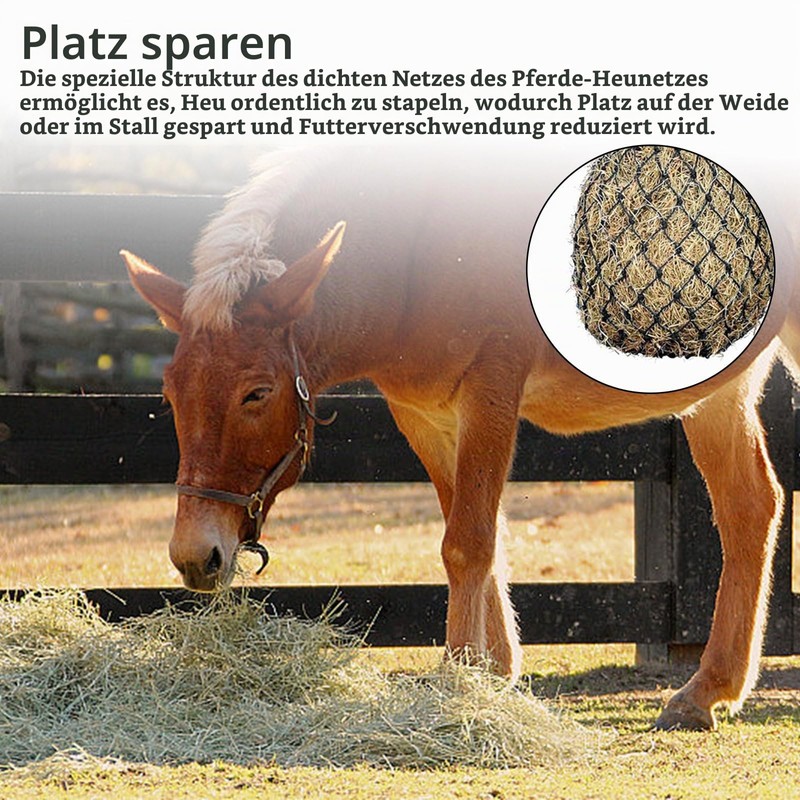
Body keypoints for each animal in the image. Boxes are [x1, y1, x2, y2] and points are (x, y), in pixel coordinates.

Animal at [122, 145, 799, 731]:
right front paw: (489, 672)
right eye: (170, 394)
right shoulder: (425, 416)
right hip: (719, 395)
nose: (195, 557)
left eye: (256, 393)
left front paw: (457, 679)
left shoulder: (491, 393)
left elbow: (468, 542)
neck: (418, 251)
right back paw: (709, 690)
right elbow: (478, 533)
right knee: (751, 507)